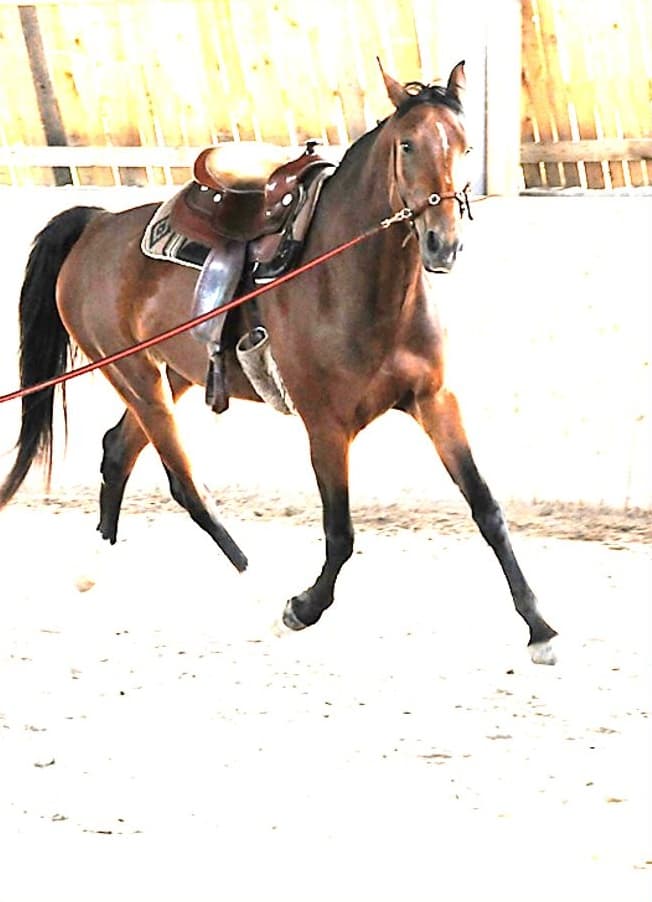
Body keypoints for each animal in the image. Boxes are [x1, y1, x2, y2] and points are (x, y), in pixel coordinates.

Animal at [0, 62, 558, 664]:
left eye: (465, 144)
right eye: (407, 145)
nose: (442, 245)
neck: (357, 280)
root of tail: (97, 225)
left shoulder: (434, 401)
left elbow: (487, 508)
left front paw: (539, 626)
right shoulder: (326, 426)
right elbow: (340, 532)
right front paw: (303, 607)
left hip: (171, 375)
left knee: (117, 451)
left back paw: (93, 568)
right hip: (135, 376)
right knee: (186, 485)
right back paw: (260, 589)